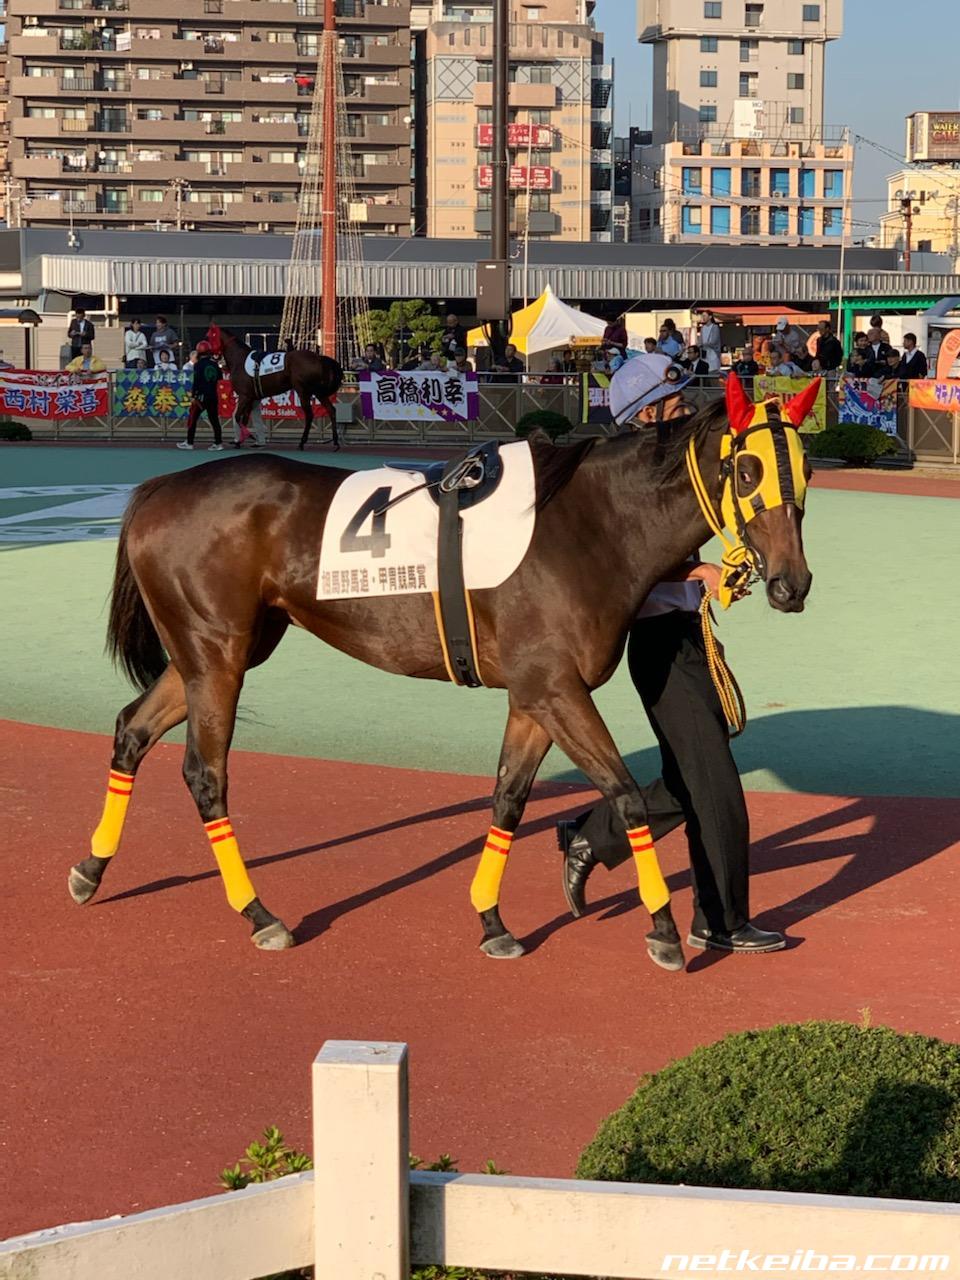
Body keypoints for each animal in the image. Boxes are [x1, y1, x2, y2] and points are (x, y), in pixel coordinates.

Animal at [68, 374, 817, 973]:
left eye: (804, 471)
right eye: (747, 471)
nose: (792, 584)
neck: (590, 526)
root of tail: (156, 490)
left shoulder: (533, 694)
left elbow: (508, 798)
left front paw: (493, 922)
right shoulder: (557, 688)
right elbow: (628, 795)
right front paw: (661, 928)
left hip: (216, 653)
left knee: (132, 730)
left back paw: (90, 870)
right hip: (216, 654)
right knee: (205, 774)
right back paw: (259, 913)